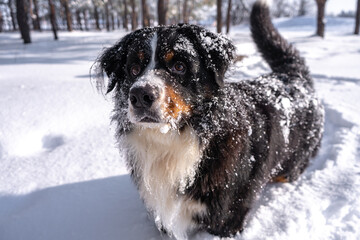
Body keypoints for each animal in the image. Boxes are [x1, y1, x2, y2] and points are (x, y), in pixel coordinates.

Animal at [92, 0, 324, 239]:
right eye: (134, 69)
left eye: (179, 66)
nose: (140, 95)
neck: (173, 140)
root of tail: (293, 77)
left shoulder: (227, 217)